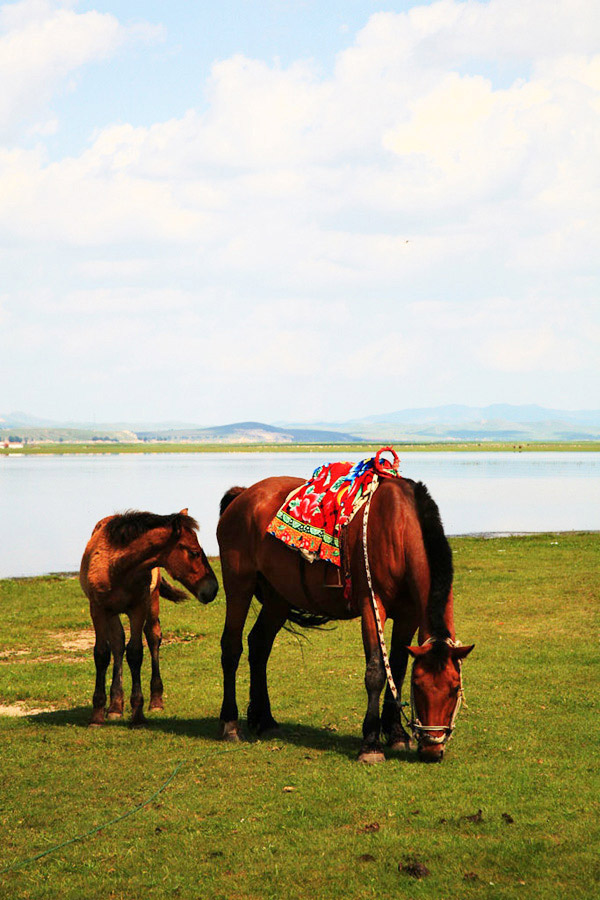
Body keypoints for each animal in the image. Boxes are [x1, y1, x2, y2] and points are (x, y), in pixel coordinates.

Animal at [79, 510, 218, 728]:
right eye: (194, 552)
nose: (213, 588)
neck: (117, 567)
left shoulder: (138, 608)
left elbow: (135, 653)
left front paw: (138, 716)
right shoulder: (98, 609)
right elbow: (102, 654)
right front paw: (97, 716)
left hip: (152, 605)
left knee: (153, 638)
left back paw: (156, 701)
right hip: (113, 613)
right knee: (118, 644)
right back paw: (115, 706)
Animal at [216, 460, 474, 764]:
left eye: (454, 688)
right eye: (419, 686)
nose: (433, 749)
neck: (398, 529)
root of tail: (243, 495)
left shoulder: (409, 615)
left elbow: (397, 669)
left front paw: (397, 735)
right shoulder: (372, 607)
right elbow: (376, 671)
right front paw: (371, 745)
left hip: (277, 597)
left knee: (259, 645)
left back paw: (265, 720)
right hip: (238, 585)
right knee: (232, 648)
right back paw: (230, 724)